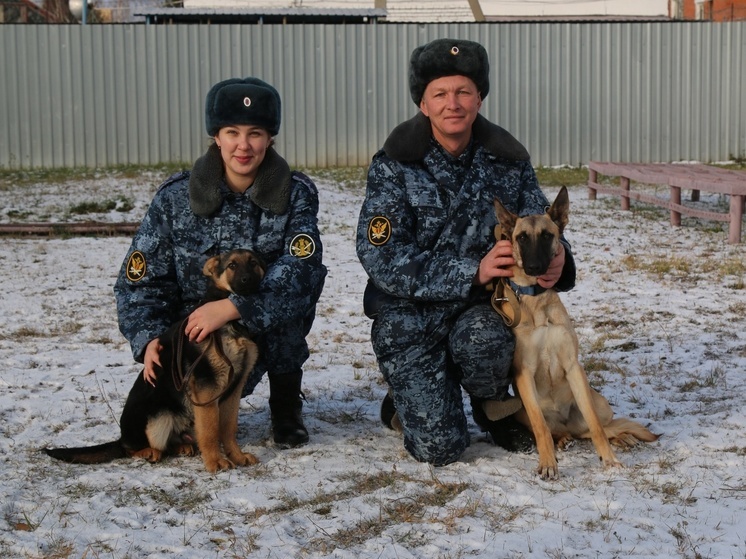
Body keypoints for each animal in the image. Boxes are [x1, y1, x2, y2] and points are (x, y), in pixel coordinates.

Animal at [45, 249, 266, 472]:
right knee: (134, 448)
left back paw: (182, 446)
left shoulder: (233, 388)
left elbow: (228, 428)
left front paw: (237, 456)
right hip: (157, 419)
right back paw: (148, 452)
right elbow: (211, 430)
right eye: (232, 265)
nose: (248, 280)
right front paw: (215, 461)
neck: (231, 323)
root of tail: (122, 438)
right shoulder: (206, 388)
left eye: (253, 263)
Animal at [494, 188, 656, 482]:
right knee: (553, 429)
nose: (535, 266)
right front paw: (548, 463)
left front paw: (609, 460)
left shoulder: (573, 367)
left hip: (599, 403)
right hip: (520, 408)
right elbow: (540, 428)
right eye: (521, 237)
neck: (537, 302)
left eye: (547, 235)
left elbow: (596, 427)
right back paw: (562, 439)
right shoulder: (523, 375)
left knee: (598, 427)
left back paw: (622, 438)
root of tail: (566, 423)